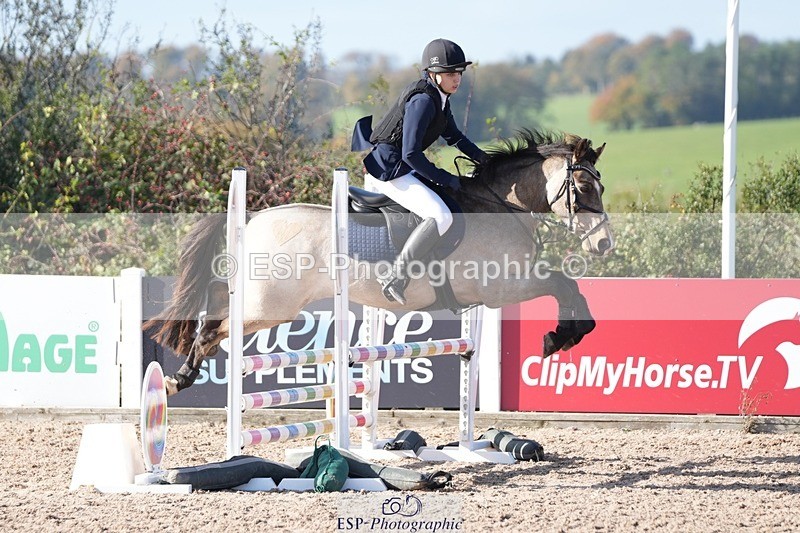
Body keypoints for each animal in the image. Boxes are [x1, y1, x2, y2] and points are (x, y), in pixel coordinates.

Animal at [144, 129, 614, 395]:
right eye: (583, 186)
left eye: (601, 185)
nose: (604, 244)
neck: (500, 205)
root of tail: (252, 218)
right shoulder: (503, 287)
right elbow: (563, 284)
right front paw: (560, 337)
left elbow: (568, 286)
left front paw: (569, 333)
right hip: (271, 308)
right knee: (216, 327)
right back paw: (180, 377)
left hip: (262, 300)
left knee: (214, 303)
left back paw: (182, 371)